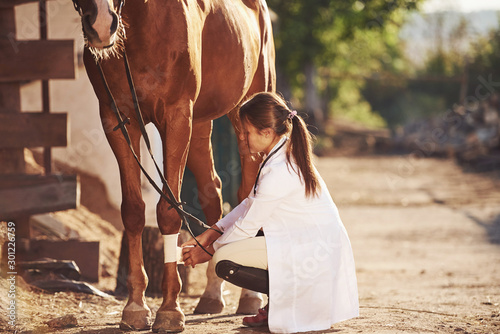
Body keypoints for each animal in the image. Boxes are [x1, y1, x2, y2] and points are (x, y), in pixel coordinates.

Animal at [72, 0, 278, 332]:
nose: (101, 25)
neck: (141, 24)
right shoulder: (117, 119)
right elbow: (133, 210)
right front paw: (135, 307)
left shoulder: (177, 116)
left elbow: (169, 211)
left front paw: (169, 310)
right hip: (201, 122)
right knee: (212, 193)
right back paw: (211, 295)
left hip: (245, 112)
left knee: (247, 192)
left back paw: (250, 297)